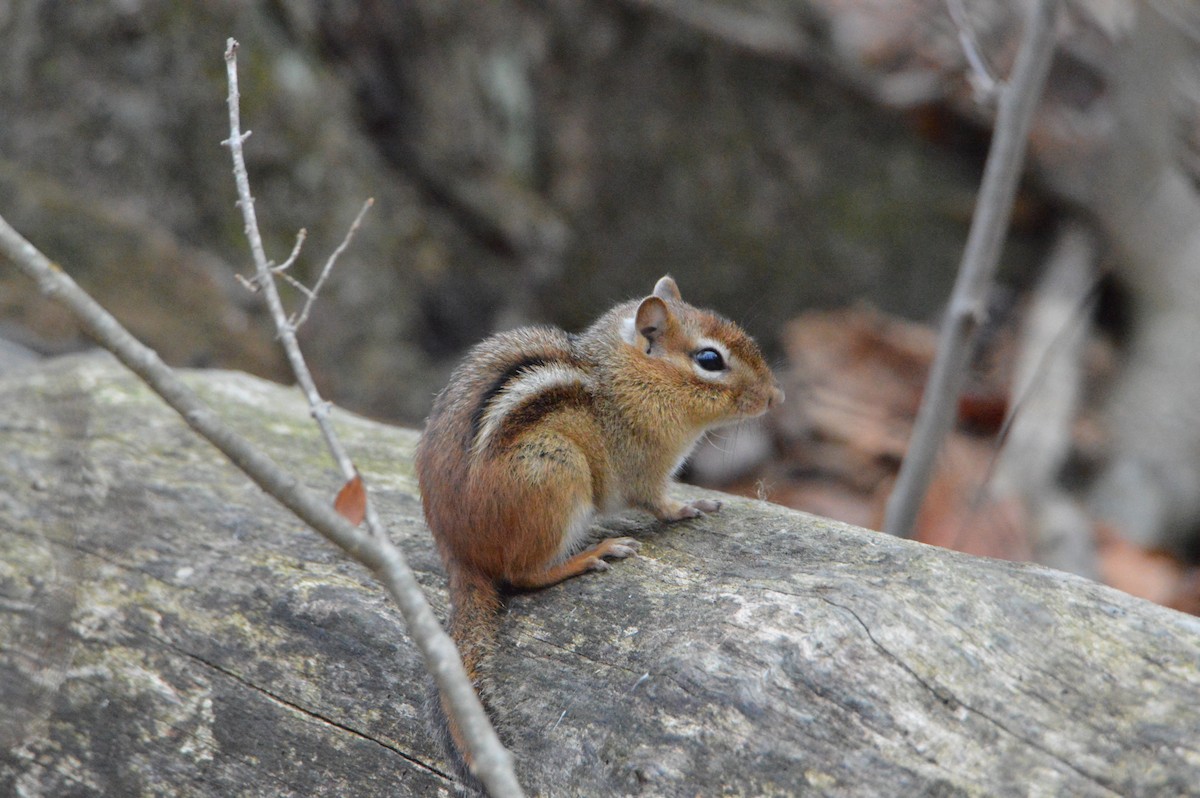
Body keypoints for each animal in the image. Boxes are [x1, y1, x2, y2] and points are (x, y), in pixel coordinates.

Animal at [415, 275, 783, 790]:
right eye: (710, 360)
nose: (776, 397)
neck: (625, 378)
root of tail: (458, 553)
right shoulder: (642, 469)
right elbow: (657, 501)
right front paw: (690, 506)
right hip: (557, 474)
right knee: (523, 575)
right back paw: (593, 554)